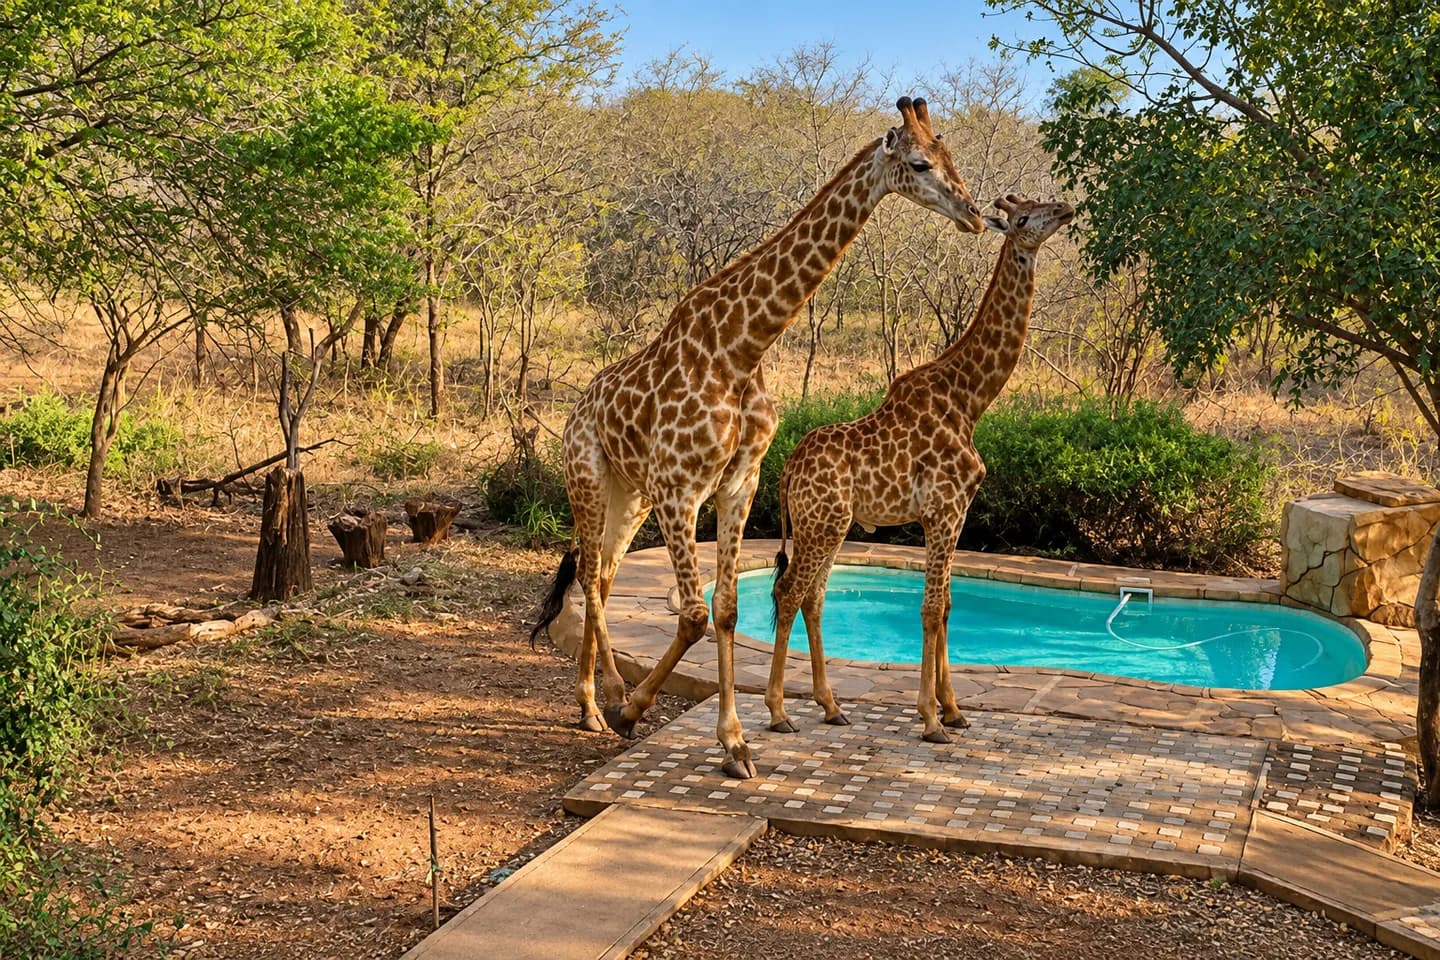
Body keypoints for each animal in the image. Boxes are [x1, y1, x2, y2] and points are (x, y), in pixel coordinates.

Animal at [530, 97, 984, 779]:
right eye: (920, 162)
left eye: (949, 153)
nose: (976, 215)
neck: (742, 346)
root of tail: (581, 404)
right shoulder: (680, 488)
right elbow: (693, 613)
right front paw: (636, 707)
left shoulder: (738, 483)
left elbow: (725, 608)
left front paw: (735, 742)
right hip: (587, 474)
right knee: (587, 573)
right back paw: (602, 698)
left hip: (628, 495)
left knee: (604, 573)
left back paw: (590, 703)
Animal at [765, 194, 1075, 742]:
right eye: (1023, 217)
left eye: (1040, 205)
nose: (1067, 209)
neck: (970, 399)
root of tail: (787, 470)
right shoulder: (943, 510)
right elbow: (931, 609)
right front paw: (931, 719)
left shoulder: (958, 512)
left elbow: (948, 606)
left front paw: (953, 709)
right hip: (821, 524)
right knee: (789, 591)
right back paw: (780, 712)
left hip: (828, 524)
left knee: (813, 598)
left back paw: (831, 705)